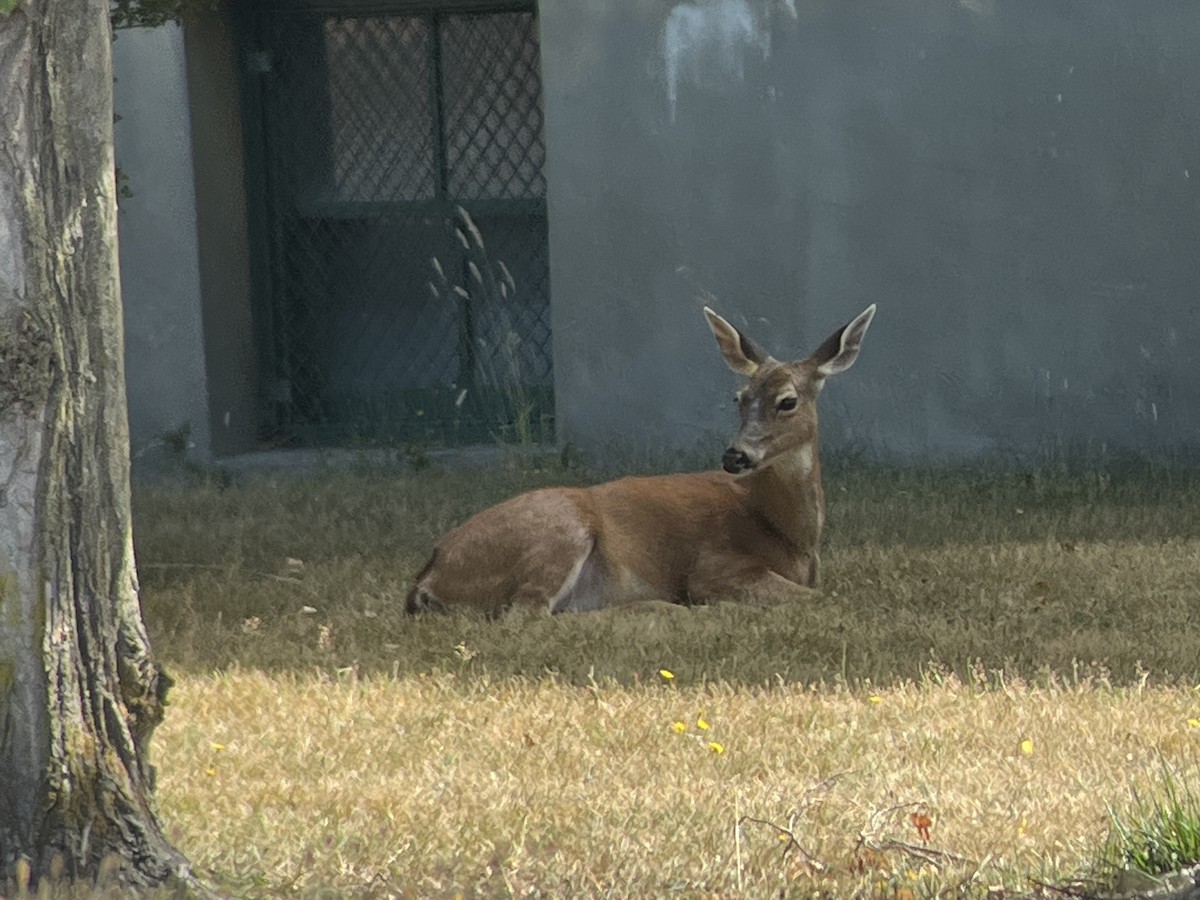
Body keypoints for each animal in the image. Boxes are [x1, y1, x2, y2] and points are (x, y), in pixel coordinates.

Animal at [405, 303, 876, 615]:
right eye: (739, 398)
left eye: (787, 401)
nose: (734, 455)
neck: (792, 538)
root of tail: (429, 572)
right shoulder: (713, 566)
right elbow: (823, 596)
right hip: (558, 529)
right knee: (528, 611)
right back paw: (661, 609)